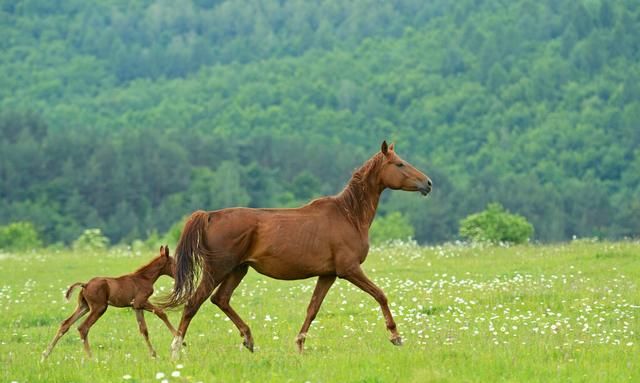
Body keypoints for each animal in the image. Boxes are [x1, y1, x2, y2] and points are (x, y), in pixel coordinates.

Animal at [42, 246, 176, 360]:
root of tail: (85, 285)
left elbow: (144, 329)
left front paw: (154, 355)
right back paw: (91, 358)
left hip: (84, 306)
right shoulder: (141, 302)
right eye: (173, 263)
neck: (144, 278)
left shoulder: (136, 307)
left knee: (65, 324)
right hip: (99, 307)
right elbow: (161, 312)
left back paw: (45, 355)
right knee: (83, 327)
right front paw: (178, 337)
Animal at [160, 141, 432, 360]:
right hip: (218, 269)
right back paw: (175, 350)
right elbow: (380, 295)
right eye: (399, 164)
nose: (428, 183)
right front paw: (395, 336)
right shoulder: (349, 270)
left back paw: (248, 339)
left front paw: (299, 346)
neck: (349, 215)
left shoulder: (328, 275)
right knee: (193, 304)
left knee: (220, 299)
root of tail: (210, 216)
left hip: (238, 270)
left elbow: (312, 309)